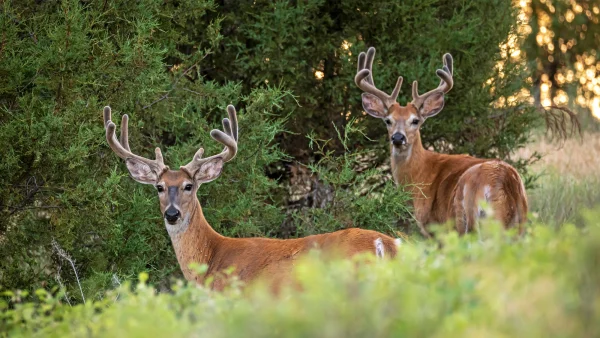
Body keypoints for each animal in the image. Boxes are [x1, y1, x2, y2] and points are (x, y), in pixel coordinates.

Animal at [354, 46, 528, 238]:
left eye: (415, 120)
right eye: (388, 120)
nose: (398, 138)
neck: (420, 174)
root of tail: (502, 181)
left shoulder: (436, 228)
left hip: (465, 219)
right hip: (518, 223)